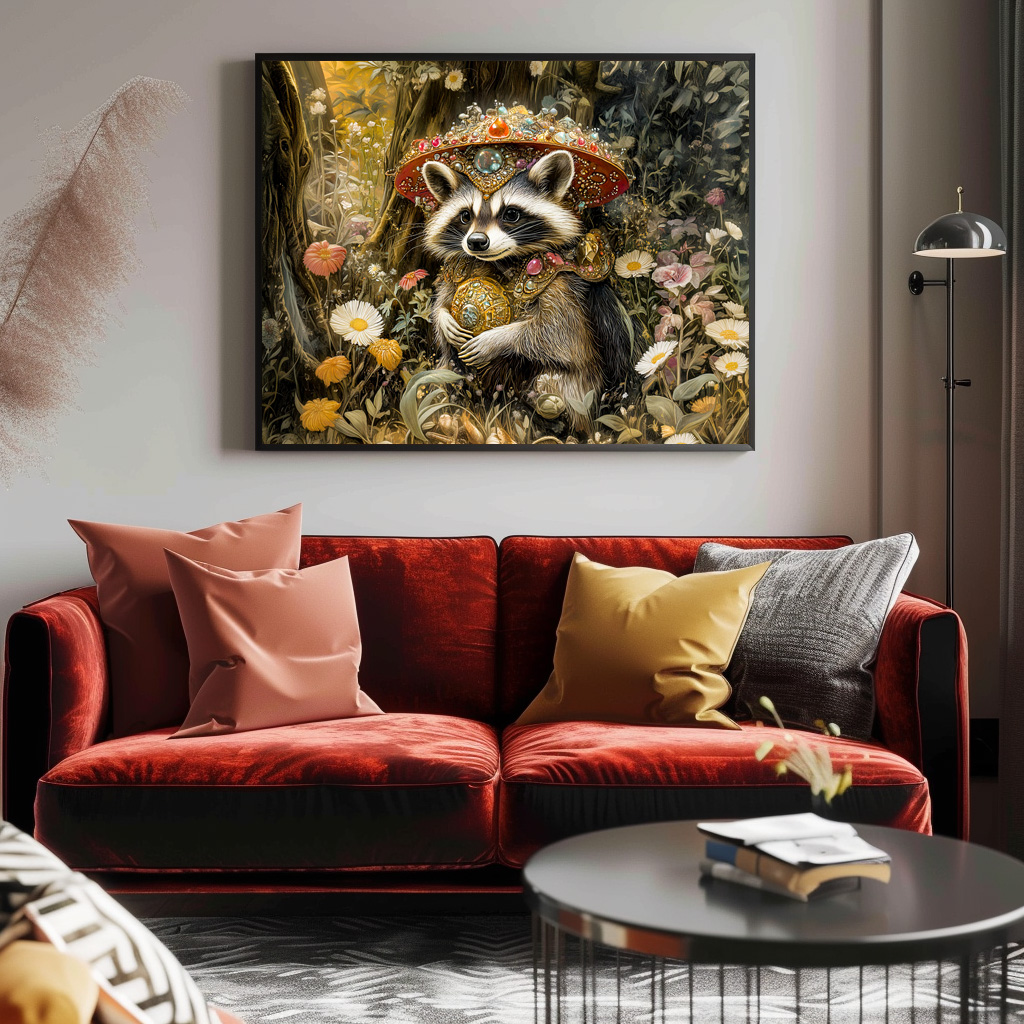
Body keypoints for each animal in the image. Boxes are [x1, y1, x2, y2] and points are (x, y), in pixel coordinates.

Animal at [421, 150, 637, 431]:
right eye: (465, 215)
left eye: (511, 214)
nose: (476, 242)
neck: (501, 262)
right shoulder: (459, 267)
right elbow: (443, 299)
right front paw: (444, 318)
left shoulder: (561, 282)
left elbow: (556, 331)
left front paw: (498, 338)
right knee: (447, 373)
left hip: (581, 387)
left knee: (553, 383)